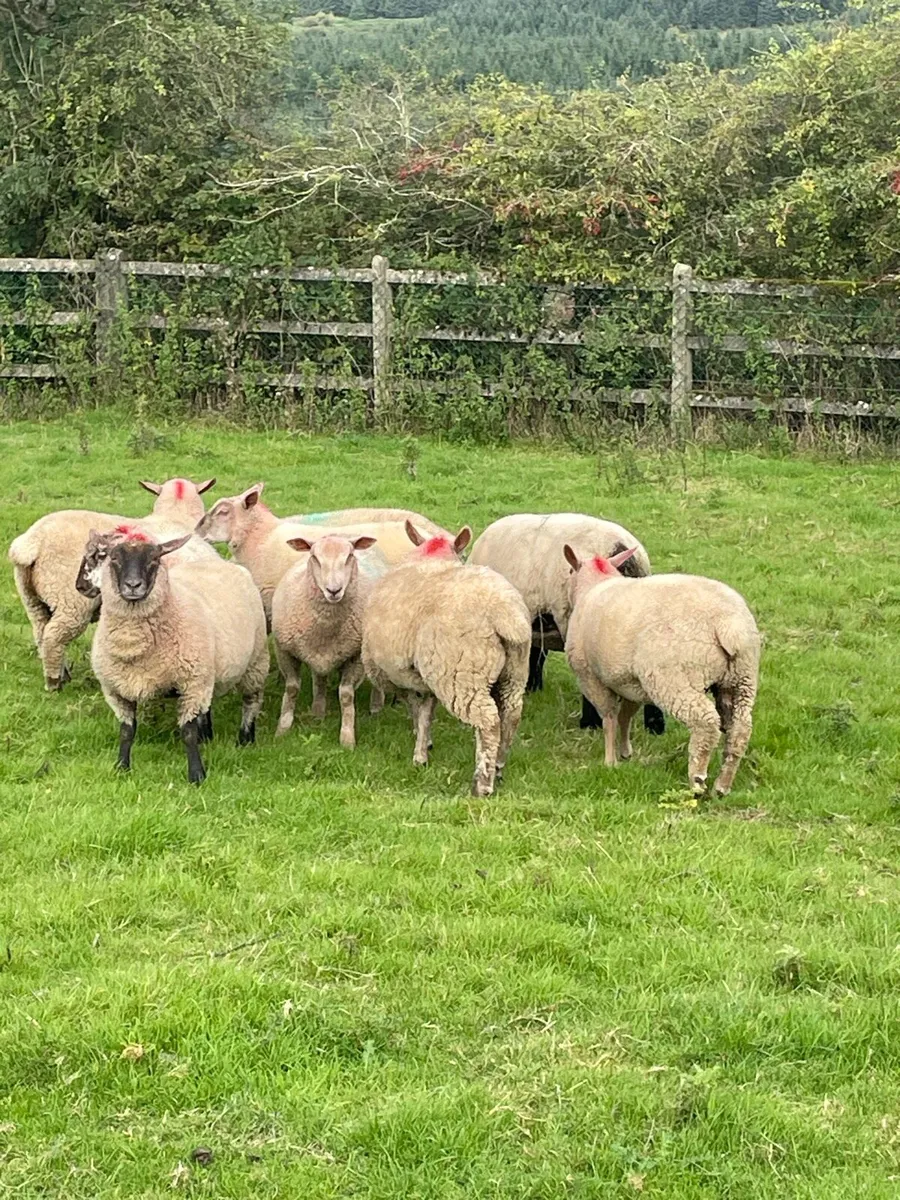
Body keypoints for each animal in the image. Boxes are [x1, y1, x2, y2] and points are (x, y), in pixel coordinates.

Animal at [8, 476, 216, 690]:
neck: (174, 516)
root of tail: (33, 542)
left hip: (31, 598)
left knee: (41, 631)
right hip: (71, 601)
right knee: (53, 636)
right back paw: (55, 682)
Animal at [91, 529, 269, 784]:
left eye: (154, 560)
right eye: (114, 558)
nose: (133, 585)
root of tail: (222, 563)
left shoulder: (191, 683)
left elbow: (187, 733)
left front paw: (196, 775)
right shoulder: (116, 689)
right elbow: (126, 731)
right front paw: (122, 767)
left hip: (256, 661)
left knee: (251, 702)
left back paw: (245, 739)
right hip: (208, 671)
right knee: (207, 706)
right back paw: (207, 736)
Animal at [271, 533, 384, 746]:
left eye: (349, 556)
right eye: (314, 557)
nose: (334, 590)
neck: (325, 626)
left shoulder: (356, 655)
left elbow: (346, 695)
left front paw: (347, 738)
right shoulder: (284, 650)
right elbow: (292, 688)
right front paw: (282, 730)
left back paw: (376, 706)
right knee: (320, 679)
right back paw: (318, 711)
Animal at [362, 521, 531, 797]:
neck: (432, 556)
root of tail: (502, 613)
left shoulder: (398, 674)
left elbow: (415, 708)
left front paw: (420, 748)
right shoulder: (428, 673)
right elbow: (427, 710)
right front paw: (424, 748)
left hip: (461, 674)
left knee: (488, 721)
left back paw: (482, 783)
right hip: (514, 672)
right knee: (511, 714)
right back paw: (498, 766)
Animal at [563, 545, 761, 796]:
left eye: (570, 570)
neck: (596, 584)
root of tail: (728, 624)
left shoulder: (590, 676)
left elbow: (609, 718)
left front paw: (610, 762)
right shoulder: (631, 683)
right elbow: (625, 717)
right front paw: (625, 752)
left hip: (674, 678)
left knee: (705, 722)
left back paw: (697, 780)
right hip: (743, 677)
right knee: (741, 728)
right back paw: (722, 785)